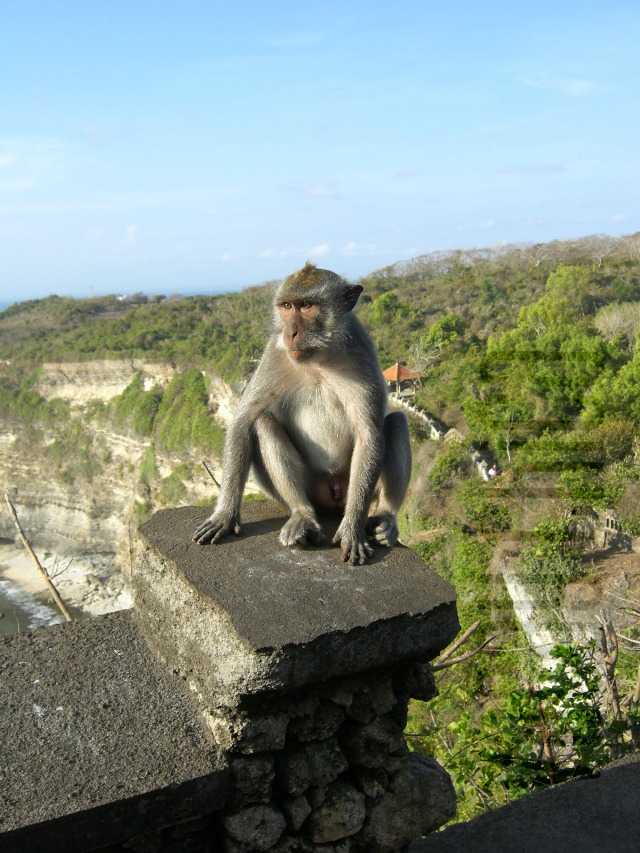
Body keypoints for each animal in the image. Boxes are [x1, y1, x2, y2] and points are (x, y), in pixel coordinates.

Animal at [193, 262, 411, 565]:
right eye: (287, 306)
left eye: (307, 305)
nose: (291, 332)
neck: (318, 357)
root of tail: (333, 490)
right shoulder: (273, 355)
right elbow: (243, 422)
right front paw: (224, 515)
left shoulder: (362, 354)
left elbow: (369, 437)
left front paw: (352, 529)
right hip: (310, 488)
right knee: (263, 423)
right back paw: (302, 515)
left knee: (396, 422)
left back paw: (386, 519)